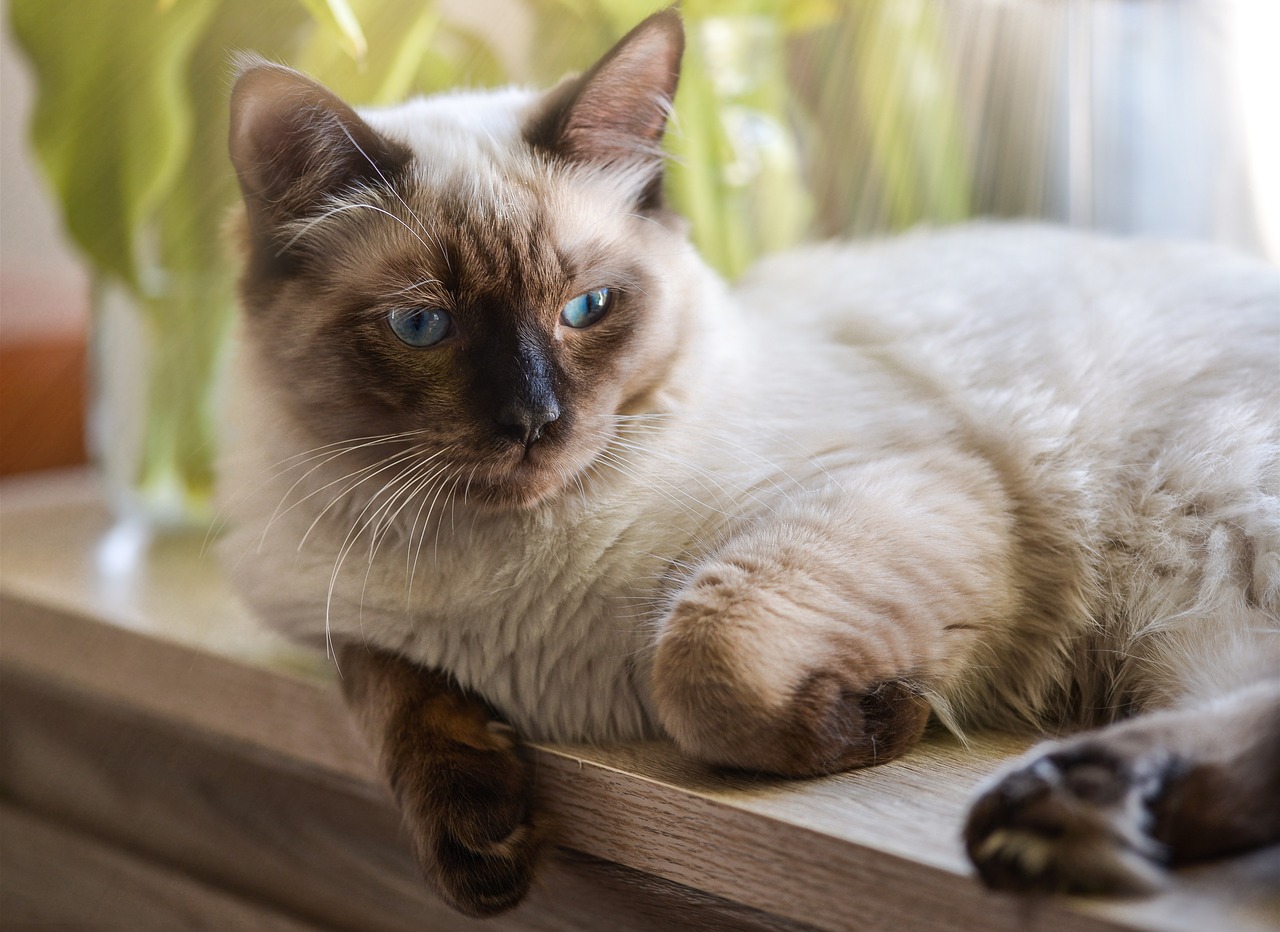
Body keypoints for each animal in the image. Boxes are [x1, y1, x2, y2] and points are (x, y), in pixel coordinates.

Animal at [220, 7, 1280, 921]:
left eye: (587, 309)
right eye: (422, 327)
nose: (534, 422)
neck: (500, 575)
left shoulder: (898, 488)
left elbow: (698, 666)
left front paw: (879, 722)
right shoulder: (346, 628)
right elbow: (391, 694)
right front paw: (478, 850)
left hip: (1205, 552)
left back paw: (1050, 820)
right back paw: (1068, 816)